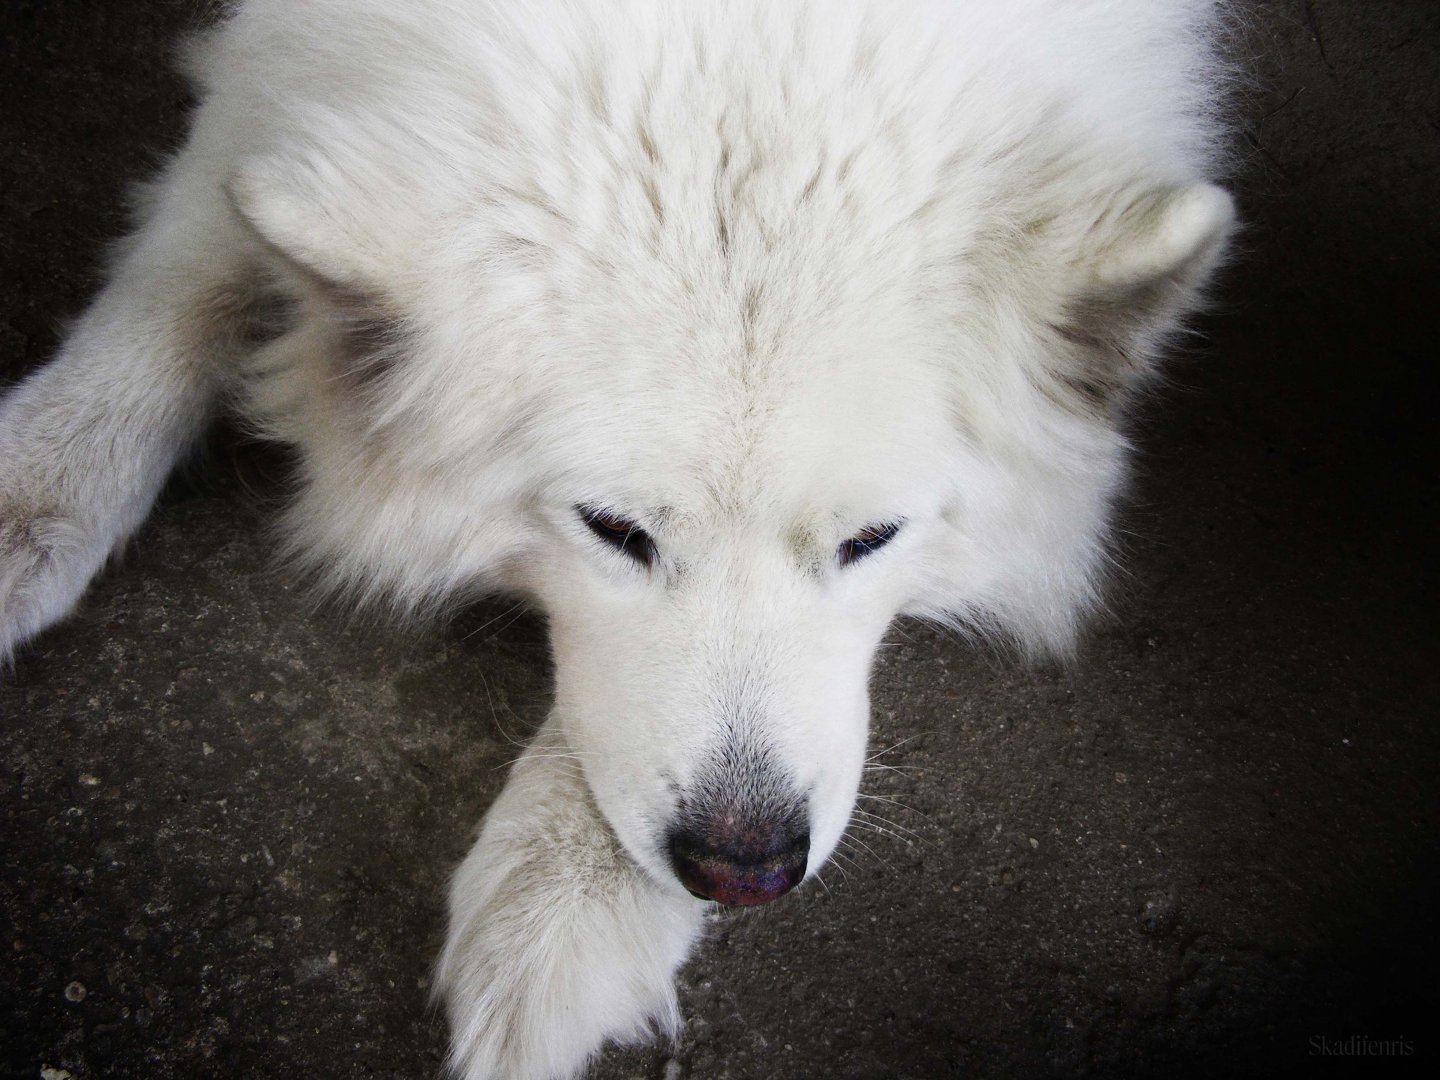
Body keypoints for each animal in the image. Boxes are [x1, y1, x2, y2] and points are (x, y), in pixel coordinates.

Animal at [0, 0, 1238, 1077]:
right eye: (614, 530)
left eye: (873, 538)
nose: (747, 868)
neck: (749, 28)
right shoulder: (273, 68)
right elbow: (189, 259)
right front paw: (38, 478)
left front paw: (567, 901)